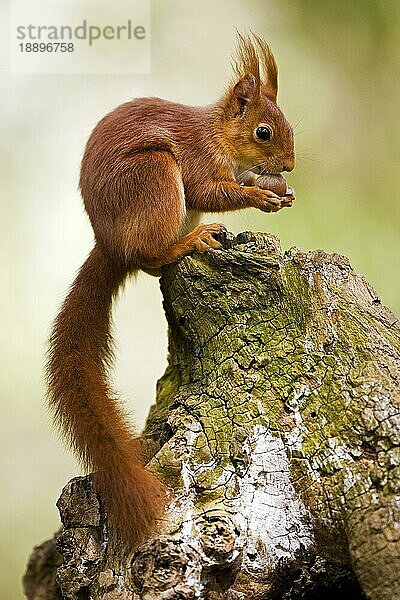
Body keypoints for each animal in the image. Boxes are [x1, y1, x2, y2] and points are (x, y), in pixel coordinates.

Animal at [47, 31, 296, 548]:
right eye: (264, 132)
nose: (290, 165)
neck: (219, 136)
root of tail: (111, 247)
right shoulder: (198, 161)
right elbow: (209, 190)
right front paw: (259, 195)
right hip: (154, 177)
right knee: (152, 254)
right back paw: (189, 242)